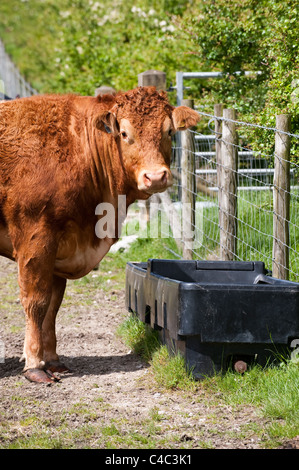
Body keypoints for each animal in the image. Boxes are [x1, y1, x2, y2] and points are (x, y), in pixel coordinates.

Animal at [0, 86, 202, 384]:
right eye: (125, 133)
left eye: (168, 131)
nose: (155, 177)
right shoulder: (35, 238)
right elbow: (36, 303)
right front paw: (35, 365)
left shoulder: (61, 249)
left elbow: (53, 306)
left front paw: (53, 360)